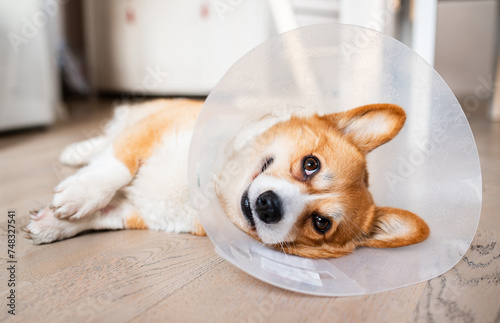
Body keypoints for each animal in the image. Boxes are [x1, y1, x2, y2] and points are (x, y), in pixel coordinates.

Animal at [23, 97, 430, 260]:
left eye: (320, 223)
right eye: (311, 164)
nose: (269, 206)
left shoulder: (137, 211)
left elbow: (99, 219)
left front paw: (52, 225)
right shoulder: (152, 131)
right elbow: (114, 168)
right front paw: (79, 194)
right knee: (107, 140)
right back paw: (75, 153)